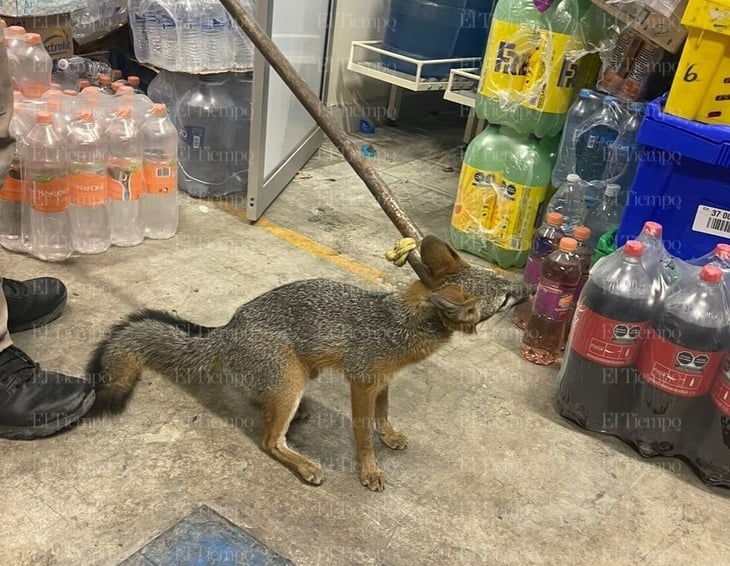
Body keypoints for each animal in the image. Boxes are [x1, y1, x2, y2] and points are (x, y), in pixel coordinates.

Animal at [88, 236, 528, 492]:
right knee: (269, 440)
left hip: (299, 376)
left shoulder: (384, 380)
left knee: (261, 405)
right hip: (291, 381)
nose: (527, 286)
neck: (403, 320)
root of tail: (228, 328)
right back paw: (303, 465)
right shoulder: (362, 382)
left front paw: (389, 434)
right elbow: (362, 433)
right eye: (506, 298)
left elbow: (384, 414)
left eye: (503, 283)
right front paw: (369, 470)